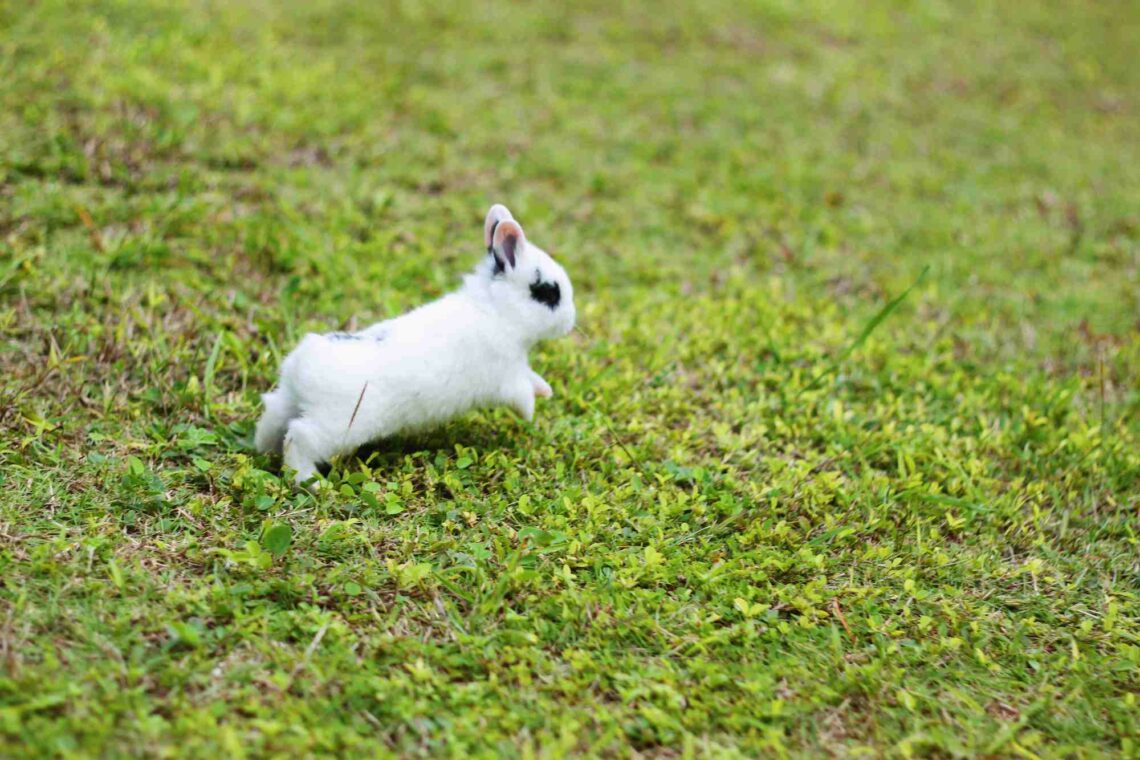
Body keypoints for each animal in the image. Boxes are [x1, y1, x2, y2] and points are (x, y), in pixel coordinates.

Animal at [254, 204, 576, 486]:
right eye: (549, 293)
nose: (571, 320)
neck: (496, 311)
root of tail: (301, 365)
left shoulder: (518, 367)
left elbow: (533, 378)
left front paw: (546, 391)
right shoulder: (507, 377)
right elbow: (522, 393)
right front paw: (532, 411)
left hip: (290, 401)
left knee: (274, 416)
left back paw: (262, 450)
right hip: (336, 426)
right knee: (298, 437)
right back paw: (310, 482)